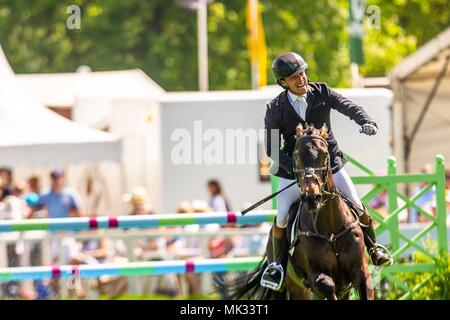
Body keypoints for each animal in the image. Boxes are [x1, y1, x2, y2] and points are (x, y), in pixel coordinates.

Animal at [232, 123, 372, 300]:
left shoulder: (360, 272)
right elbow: (327, 286)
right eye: (296, 156)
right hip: (294, 287)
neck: (331, 227)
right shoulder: (316, 276)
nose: (312, 198)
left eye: (325, 154)